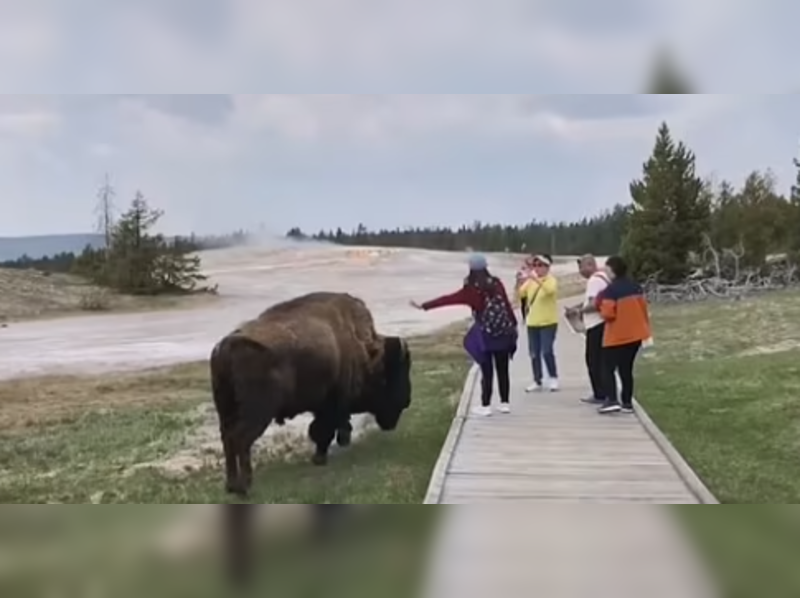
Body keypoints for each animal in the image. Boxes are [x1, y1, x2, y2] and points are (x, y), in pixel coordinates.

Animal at [209, 294, 412, 496]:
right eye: (395, 374)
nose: (406, 400)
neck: (361, 346)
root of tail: (226, 347)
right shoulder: (331, 405)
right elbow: (323, 431)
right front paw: (319, 458)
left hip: (226, 410)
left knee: (227, 439)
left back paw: (231, 485)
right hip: (257, 412)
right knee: (241, 439)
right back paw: (244, 485)